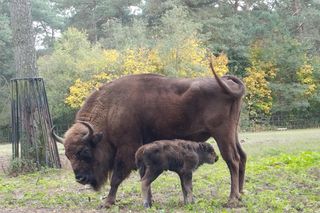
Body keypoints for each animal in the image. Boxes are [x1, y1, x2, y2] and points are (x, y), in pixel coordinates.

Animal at [52, 63, 248, 208]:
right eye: (67, 154)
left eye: (85, 151)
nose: (80, 178)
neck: (111, 109)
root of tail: (227, 83)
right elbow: (143, 177)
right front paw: (149, 201)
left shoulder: (126, 149)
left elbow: (116, 178)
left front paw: (107, 202)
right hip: (233, 132)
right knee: (242, 156)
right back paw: (241, 194)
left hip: (222, 134)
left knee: (233, 160)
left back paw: (232, 199)